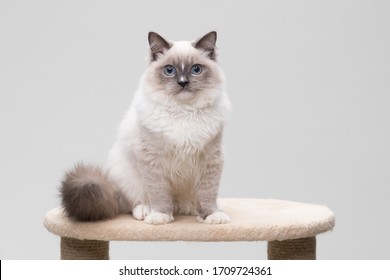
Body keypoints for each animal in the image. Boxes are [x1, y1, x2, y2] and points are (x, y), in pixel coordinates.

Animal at [60, 31, 230, 225]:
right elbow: (159, 194)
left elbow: (208, 194)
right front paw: (160, 216)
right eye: (169, 70)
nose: (183, 82)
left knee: (188, 202)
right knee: (134, 202)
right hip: (126, 174)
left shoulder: (210, 159)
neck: (183, 111)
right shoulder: (152, 159)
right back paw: (146, 211)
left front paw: (211, 215)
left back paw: (192, 208)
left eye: (196, 69)